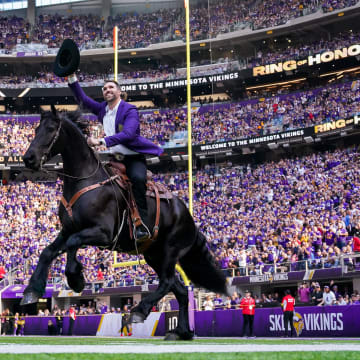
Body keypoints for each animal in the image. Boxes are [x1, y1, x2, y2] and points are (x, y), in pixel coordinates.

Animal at [19, 106, 226, 340]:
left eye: (51, 129)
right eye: (36, 129)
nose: (28, 158)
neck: (85, 180)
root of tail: (188, 217)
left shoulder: (102, 233)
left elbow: (73, 243)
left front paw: (76, 278)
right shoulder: (67, 230)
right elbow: (48, 252)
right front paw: (32, 290)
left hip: (170, 250)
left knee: (166, 283)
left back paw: (138, 312)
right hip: (154, 256)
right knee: (179, 290)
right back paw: (180, 331)